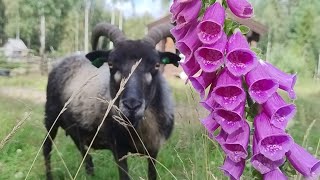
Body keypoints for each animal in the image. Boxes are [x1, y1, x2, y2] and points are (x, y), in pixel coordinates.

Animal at [43, 22, 180, 180]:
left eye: (157, 65)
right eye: (110, 64)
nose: (131, 106)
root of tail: (65, 59)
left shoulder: (154, 150)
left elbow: (152, 175)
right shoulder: (118, 148)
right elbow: (124, 176)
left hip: (74, 125)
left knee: (82, 148)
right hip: (51, 116)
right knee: (47, 147)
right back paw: (50, 176)